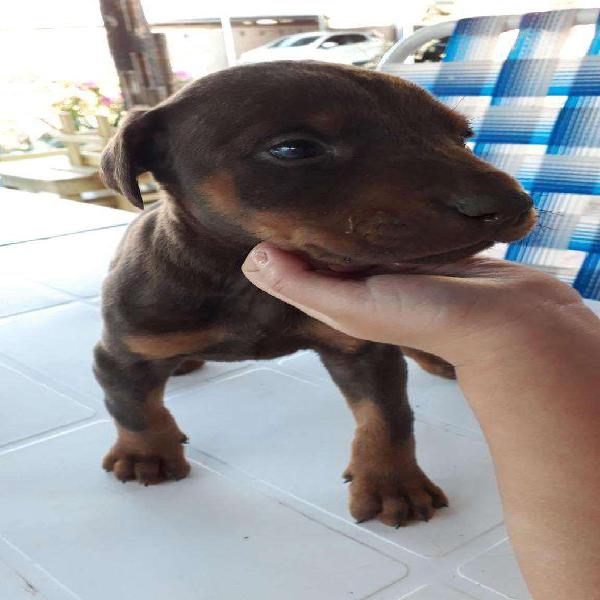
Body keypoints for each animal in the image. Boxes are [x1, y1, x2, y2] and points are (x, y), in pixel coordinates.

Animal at [94, 61, 536, 528]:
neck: (242, 283)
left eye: (462, 136)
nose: (512, 202)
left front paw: (391, 481)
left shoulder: (361, 349)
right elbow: (133, 407)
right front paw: (145, 453)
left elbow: (387, 417)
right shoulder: (122, 355)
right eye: (293, 149)